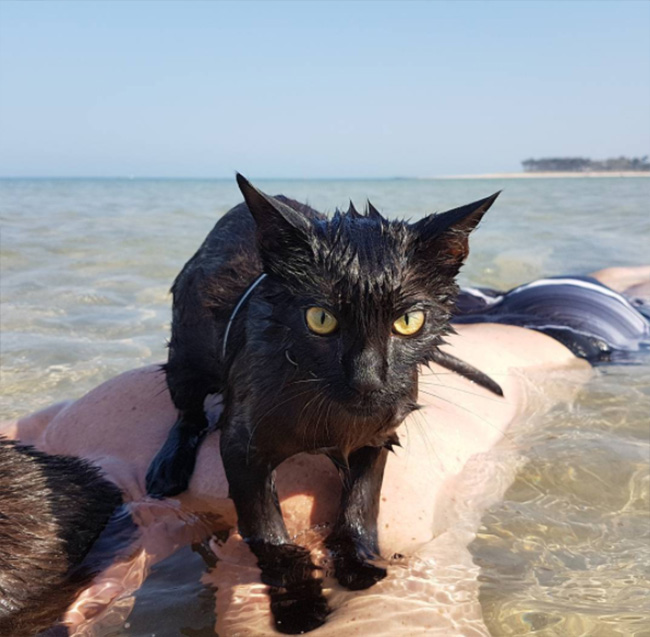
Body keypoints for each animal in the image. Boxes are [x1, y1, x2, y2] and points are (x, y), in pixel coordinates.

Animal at [147, 174, 498, 632]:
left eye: (408, 322)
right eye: (321, 319)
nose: (368, 379)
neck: (334, 422)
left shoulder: (379, 435)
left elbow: (361, 505)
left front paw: (359, 563)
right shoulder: (242, 447)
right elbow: (269, 536)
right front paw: (298, 604)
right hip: (187, 353)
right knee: (187, 410)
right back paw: (167, 468)